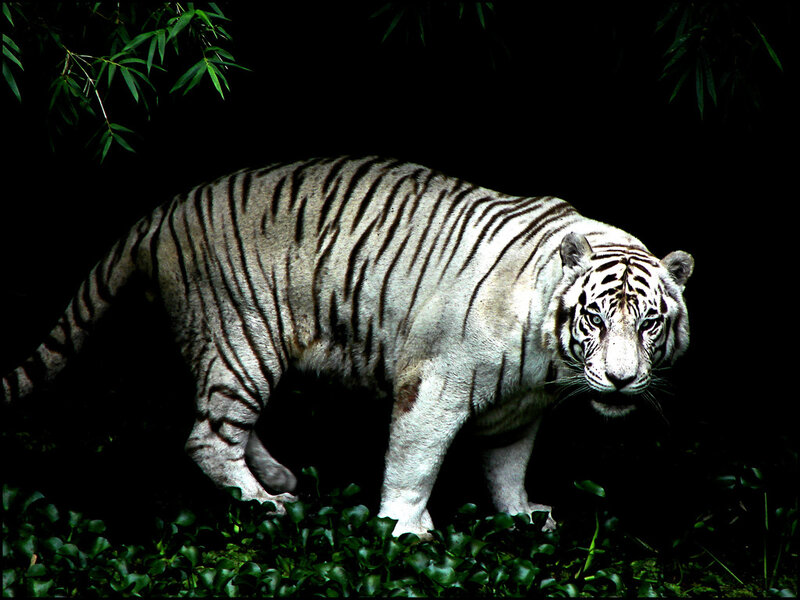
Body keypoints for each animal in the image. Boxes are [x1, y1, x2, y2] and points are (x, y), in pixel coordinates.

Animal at [2, 156, 694, 539]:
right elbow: (415, 463)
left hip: (234, 345)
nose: (622, 380)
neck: (548, 360)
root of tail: (163, 210)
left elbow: (506, 468)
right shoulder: (434, 384)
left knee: (219, 419)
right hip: (243, 334)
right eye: (596, 319)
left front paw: (522, 515)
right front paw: (408, 531)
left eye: (649, 325)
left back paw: (276, 476)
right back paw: (266, 503)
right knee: (206, 434)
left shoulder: (519, 410)